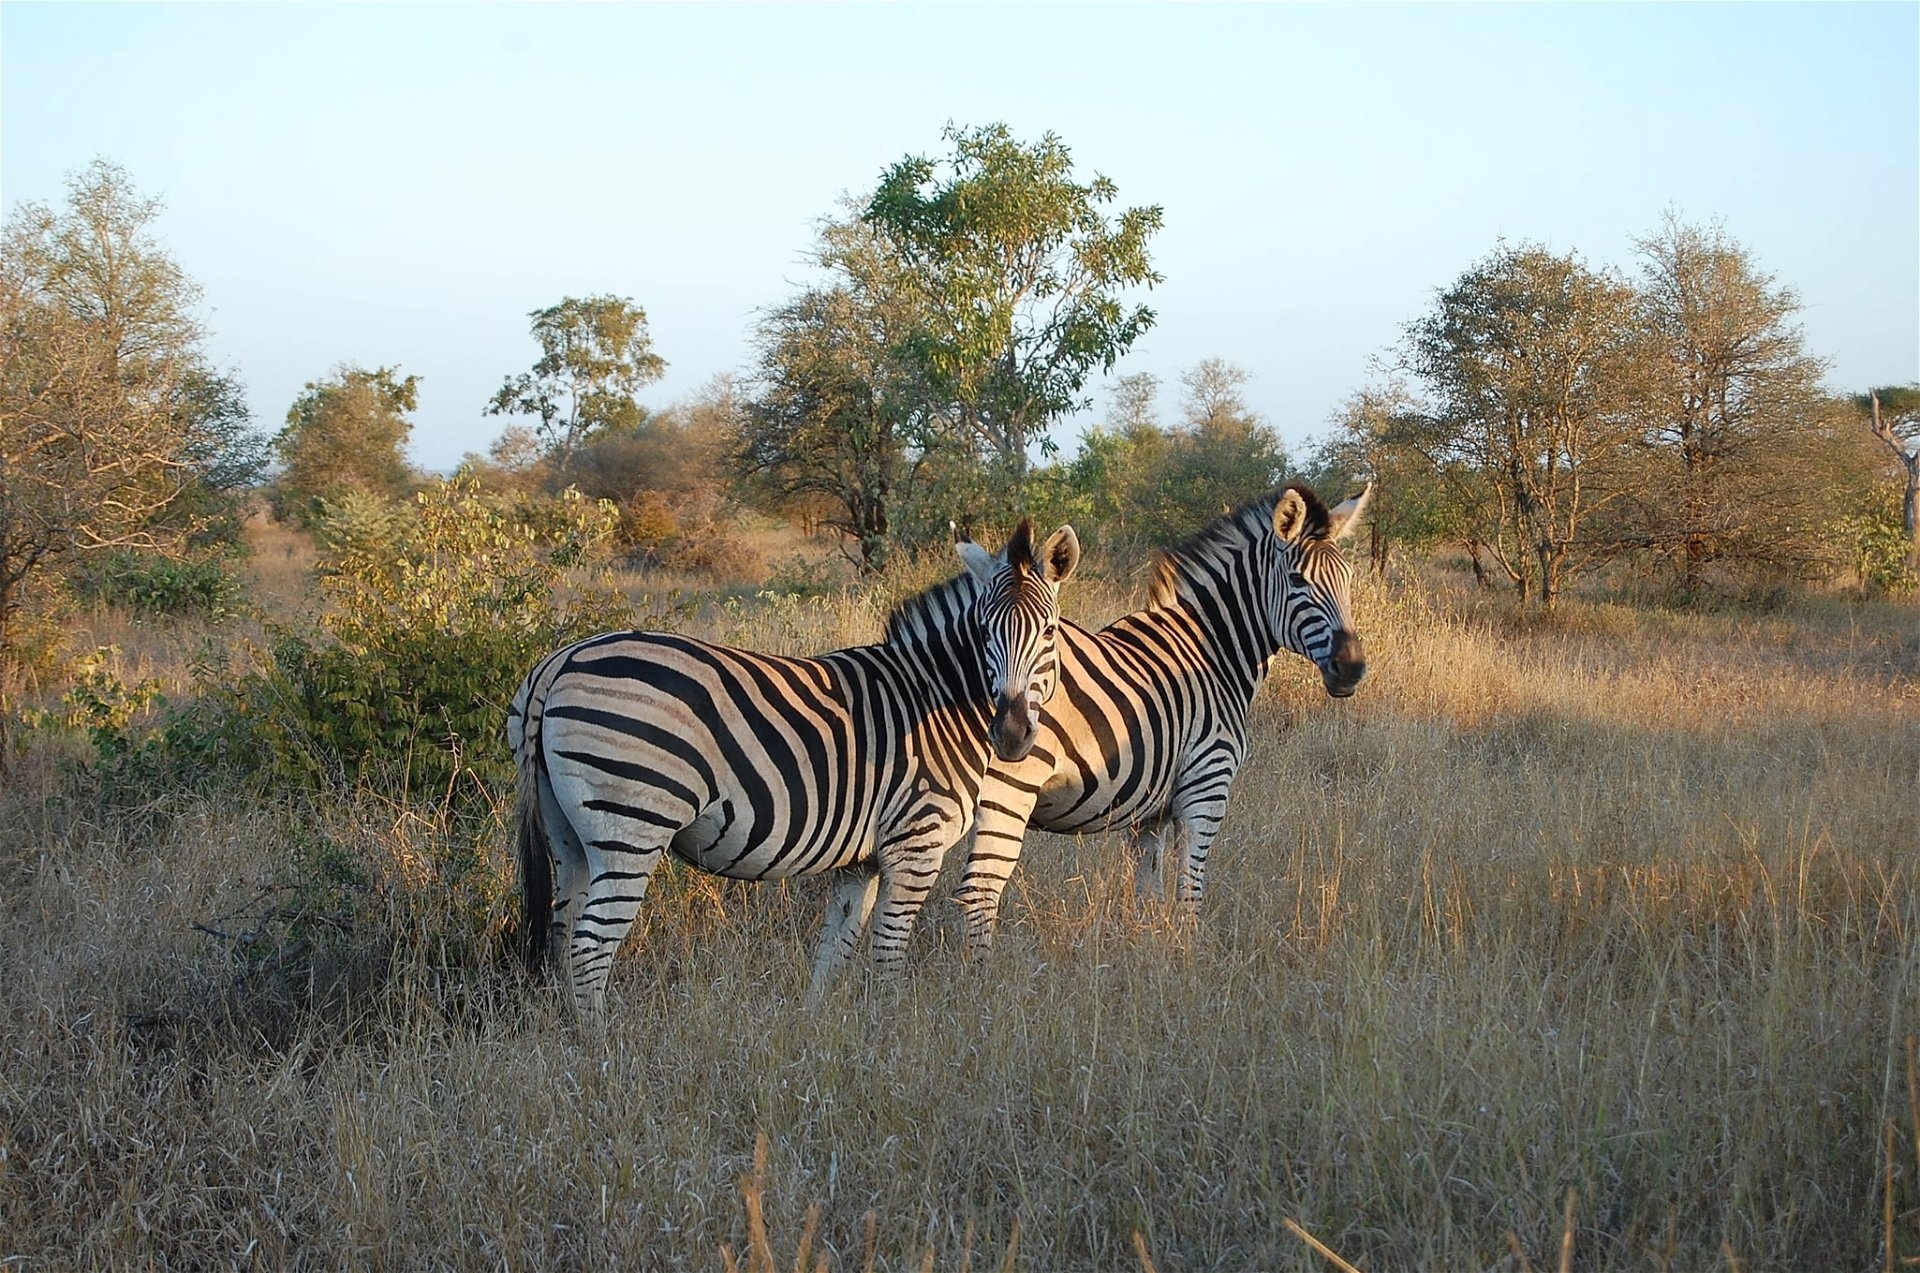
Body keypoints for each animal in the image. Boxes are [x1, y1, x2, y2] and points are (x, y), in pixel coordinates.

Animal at [506, 518, 1082, 1013]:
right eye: (984, 633)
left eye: (1049, 632)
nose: (1011, 735)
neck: (936, 696)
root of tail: (559, 662)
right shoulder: (915, 843)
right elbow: (888, 952)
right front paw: (892, 1027)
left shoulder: (863, 860)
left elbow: (835, 949)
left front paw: (820, 1026)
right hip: (630, 826)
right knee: (590, 946)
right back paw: (599, 1046)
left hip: (568, 833)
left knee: (562, 932)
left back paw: (566, 1034)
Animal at [952, 483, 1374, 952]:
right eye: (1298, 580)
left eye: (1348, 580)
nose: (1352, 668)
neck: (1212, 652)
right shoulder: (1206, 787)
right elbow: (1189, 892)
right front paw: (1188, 957)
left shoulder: (1149, 813)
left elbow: (1147, 895)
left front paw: (1146, 951)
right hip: (1008, 790)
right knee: (978, 893)